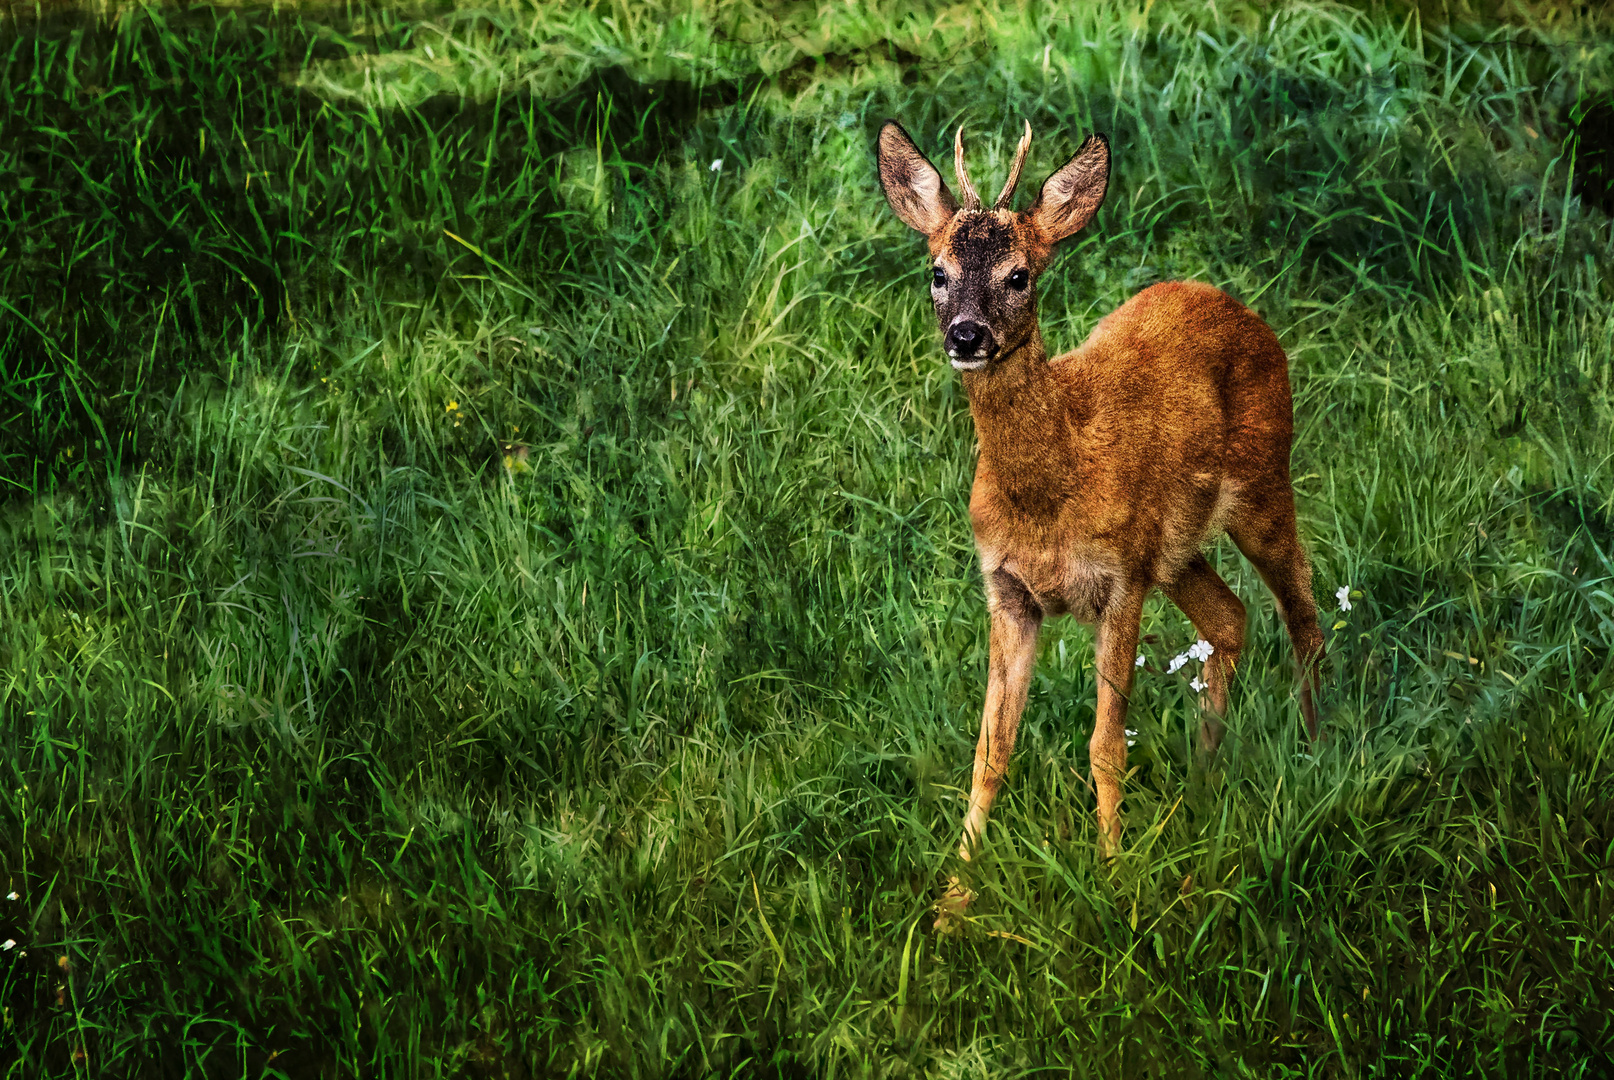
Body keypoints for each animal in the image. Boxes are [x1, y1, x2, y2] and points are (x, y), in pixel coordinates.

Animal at [884, 116, 1323, 891]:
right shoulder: (1008, 589)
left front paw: (1116, 876)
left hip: (1263, 480)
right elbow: (990, 751)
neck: (1047, 494)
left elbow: (1104, 745)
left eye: (1019, 275)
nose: (966, 335)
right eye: (937, 272)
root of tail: (1239, 308)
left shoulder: (1120, 579)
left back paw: (1318, 746)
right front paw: (953, 896)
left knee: (1301, 604)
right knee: (1230, 616)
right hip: (1174, 550)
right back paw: (1204, 780)